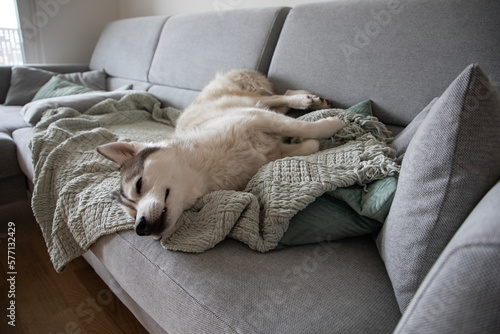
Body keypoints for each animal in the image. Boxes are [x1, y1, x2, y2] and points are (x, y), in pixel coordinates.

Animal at [97, 70, 344, 237]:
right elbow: (306, 146)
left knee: (279, 97)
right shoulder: (269, 151)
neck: (208, 167)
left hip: (248, 100)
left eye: (138, 185)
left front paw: (331, 125)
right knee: (279, 102)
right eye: (132, 214)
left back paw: (306, 99)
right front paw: (310, 141)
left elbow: (299, 127)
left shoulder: (256, 117)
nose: (140, 228)